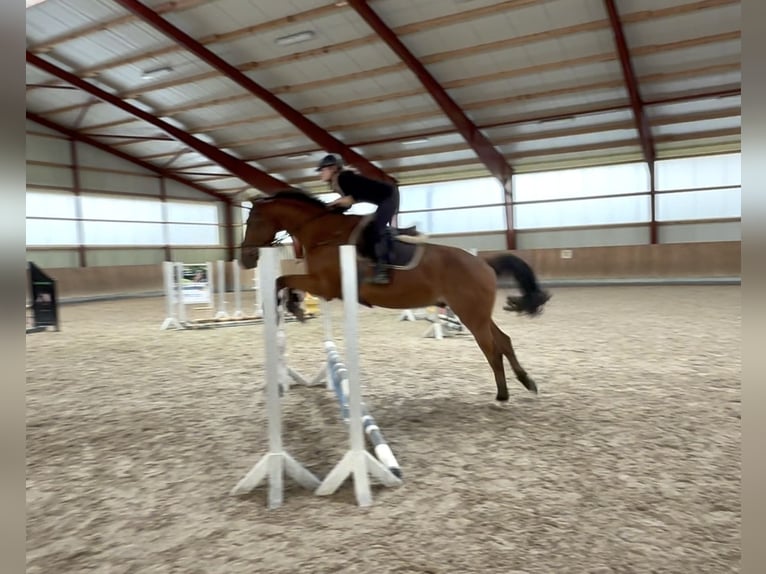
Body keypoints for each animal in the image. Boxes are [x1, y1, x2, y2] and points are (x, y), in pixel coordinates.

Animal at [240, 190, 551, 402]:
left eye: (253, 220)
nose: (245, 258)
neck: (324, 234)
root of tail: (484, 262)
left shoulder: (325, 286)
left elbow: (282, 280)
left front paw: (291, 307)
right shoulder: (323, 286)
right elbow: (284, 281)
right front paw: (293, 307)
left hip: (470, 314)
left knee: (492, 350)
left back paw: (503, 395)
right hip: (476, 313)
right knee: (504, 342)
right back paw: (526, 383)